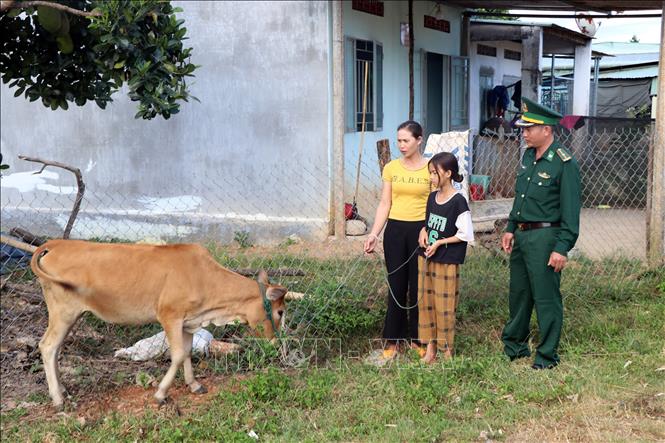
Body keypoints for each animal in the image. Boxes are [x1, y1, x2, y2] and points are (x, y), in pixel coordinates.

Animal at [29, 241, 286, 412]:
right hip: (63, 311)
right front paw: (161, 394)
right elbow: (178, 355)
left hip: (69, 315)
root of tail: (56, 244)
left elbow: (187, 353)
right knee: (48, 346)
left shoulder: (188, 323)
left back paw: (63, 390)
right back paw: (58, 399)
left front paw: (194, 385)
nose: (276, 343)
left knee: (55, 349)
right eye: (280, 312)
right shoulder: (169, 316)